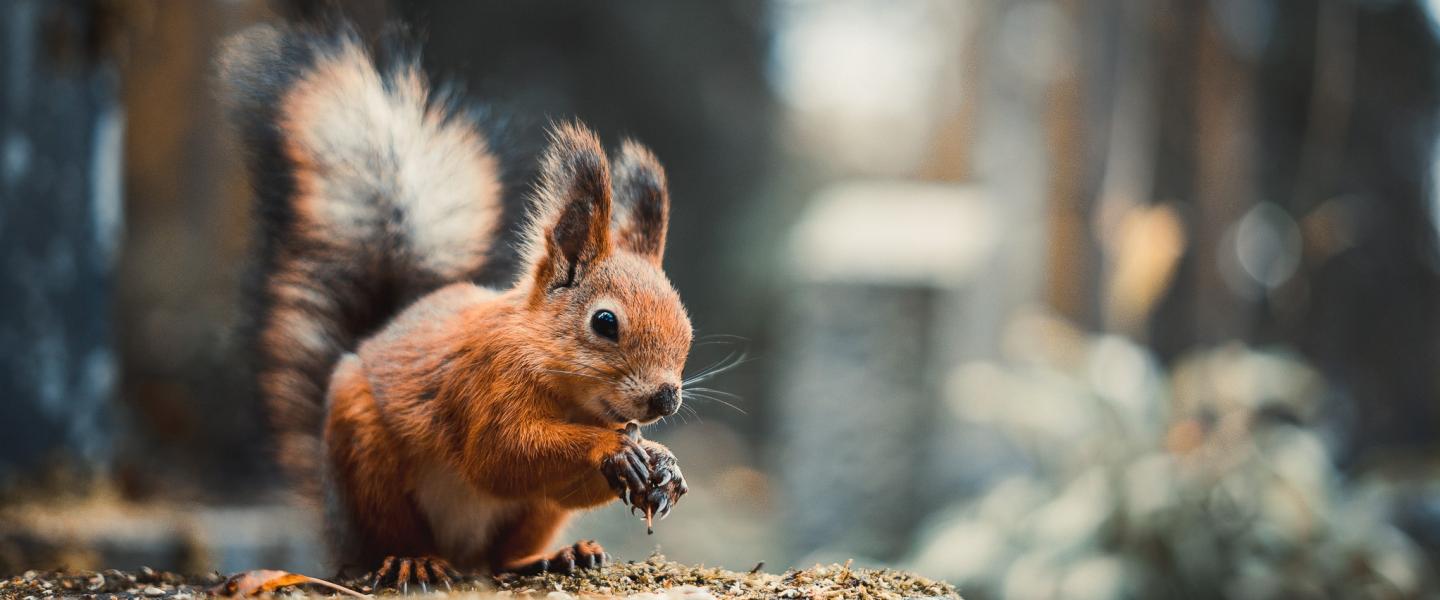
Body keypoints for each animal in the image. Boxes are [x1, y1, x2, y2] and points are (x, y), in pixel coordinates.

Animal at [221, 23, 694, 584]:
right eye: (604, 322)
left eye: (688, 329)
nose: (665, 399)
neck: (566, 393)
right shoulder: (483, 384)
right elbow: (501, 454)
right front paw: (615, 449)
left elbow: (556, 484)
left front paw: (663, 462)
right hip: (367, 461)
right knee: (395, 537)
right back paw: (414, 561)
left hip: (528, 518)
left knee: (502, 557)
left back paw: (557, 555)